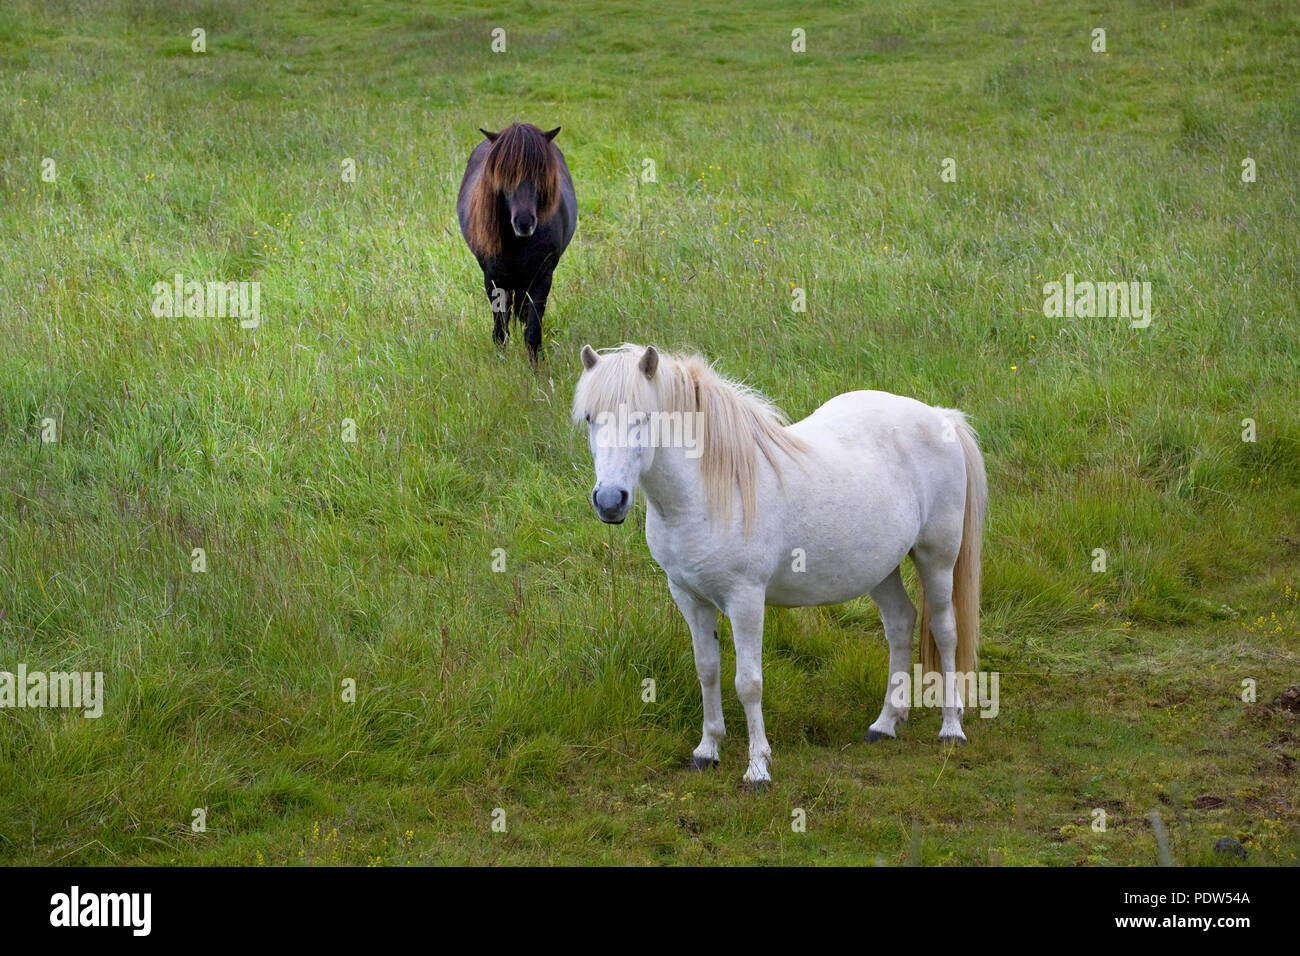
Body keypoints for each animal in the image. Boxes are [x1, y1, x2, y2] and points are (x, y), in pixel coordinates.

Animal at [460, 123, 577, 361]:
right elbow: (500, 332)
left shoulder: (542, 279)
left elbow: (532, 333)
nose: (524, 222)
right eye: (503, 176)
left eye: (541, 174)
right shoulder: (494, 281)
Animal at [572, 343, 982, 785]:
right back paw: (885, 723)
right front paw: (707, 750)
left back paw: (951, 728)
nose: (610, 501)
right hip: (880, 568)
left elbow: (748, 683)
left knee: (945, 632)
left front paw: (757, 769)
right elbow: (707, 670)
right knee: (901, 623)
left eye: (644, 418)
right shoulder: (689, 597)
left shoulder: (746, 600)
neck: (710, 491)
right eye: (590, 418)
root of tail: (941, 417)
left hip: (936, 557)